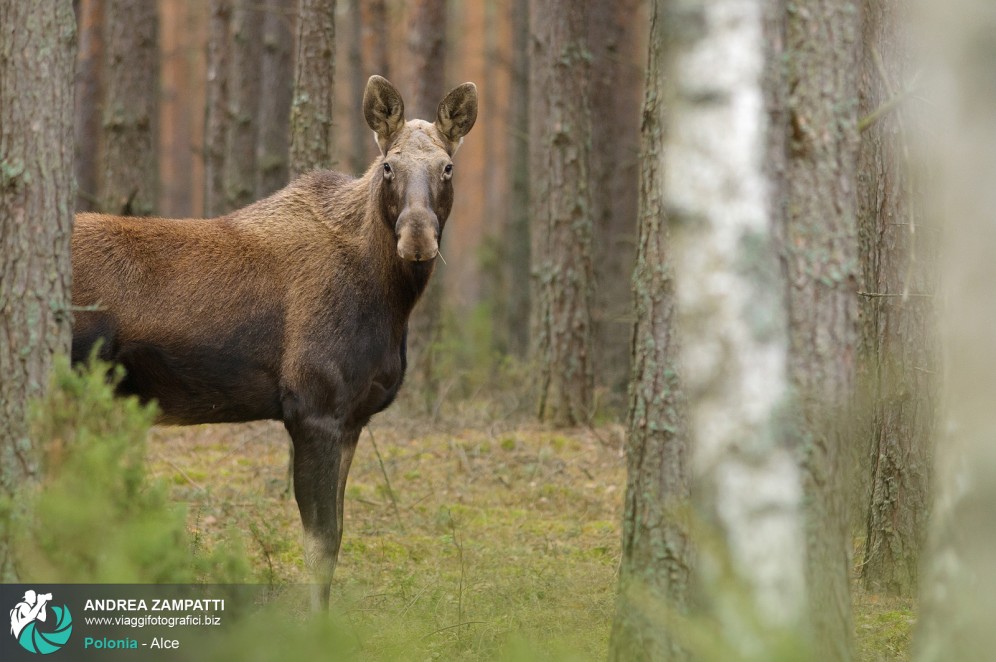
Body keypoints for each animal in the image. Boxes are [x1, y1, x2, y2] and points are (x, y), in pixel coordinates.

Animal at [70, 75, 478, 608]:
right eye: (389, 166)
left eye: (447, 167)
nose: (417, 240)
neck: (390, 303)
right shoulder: (313, 408)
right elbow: (319, 544)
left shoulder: (353, 418)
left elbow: (337, 538)